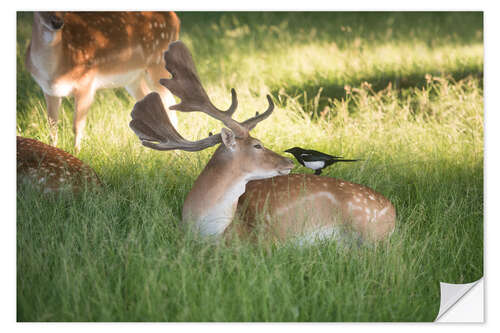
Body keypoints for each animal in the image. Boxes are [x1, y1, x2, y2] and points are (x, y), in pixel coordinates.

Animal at [25, 11, 181, 149]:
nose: (57, 23)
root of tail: (175, 19)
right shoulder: (49, 91)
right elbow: (52, 128)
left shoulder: (86, 82)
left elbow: (77, 126)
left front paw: (77, 153)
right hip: (133, 79)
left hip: (158, 65)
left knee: (170, 105)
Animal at [131, 40, 396, 244]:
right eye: (257, 145)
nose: (288, 162)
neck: (204, 226)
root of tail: (393, 212)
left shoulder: (262, 242)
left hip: (366, 229)